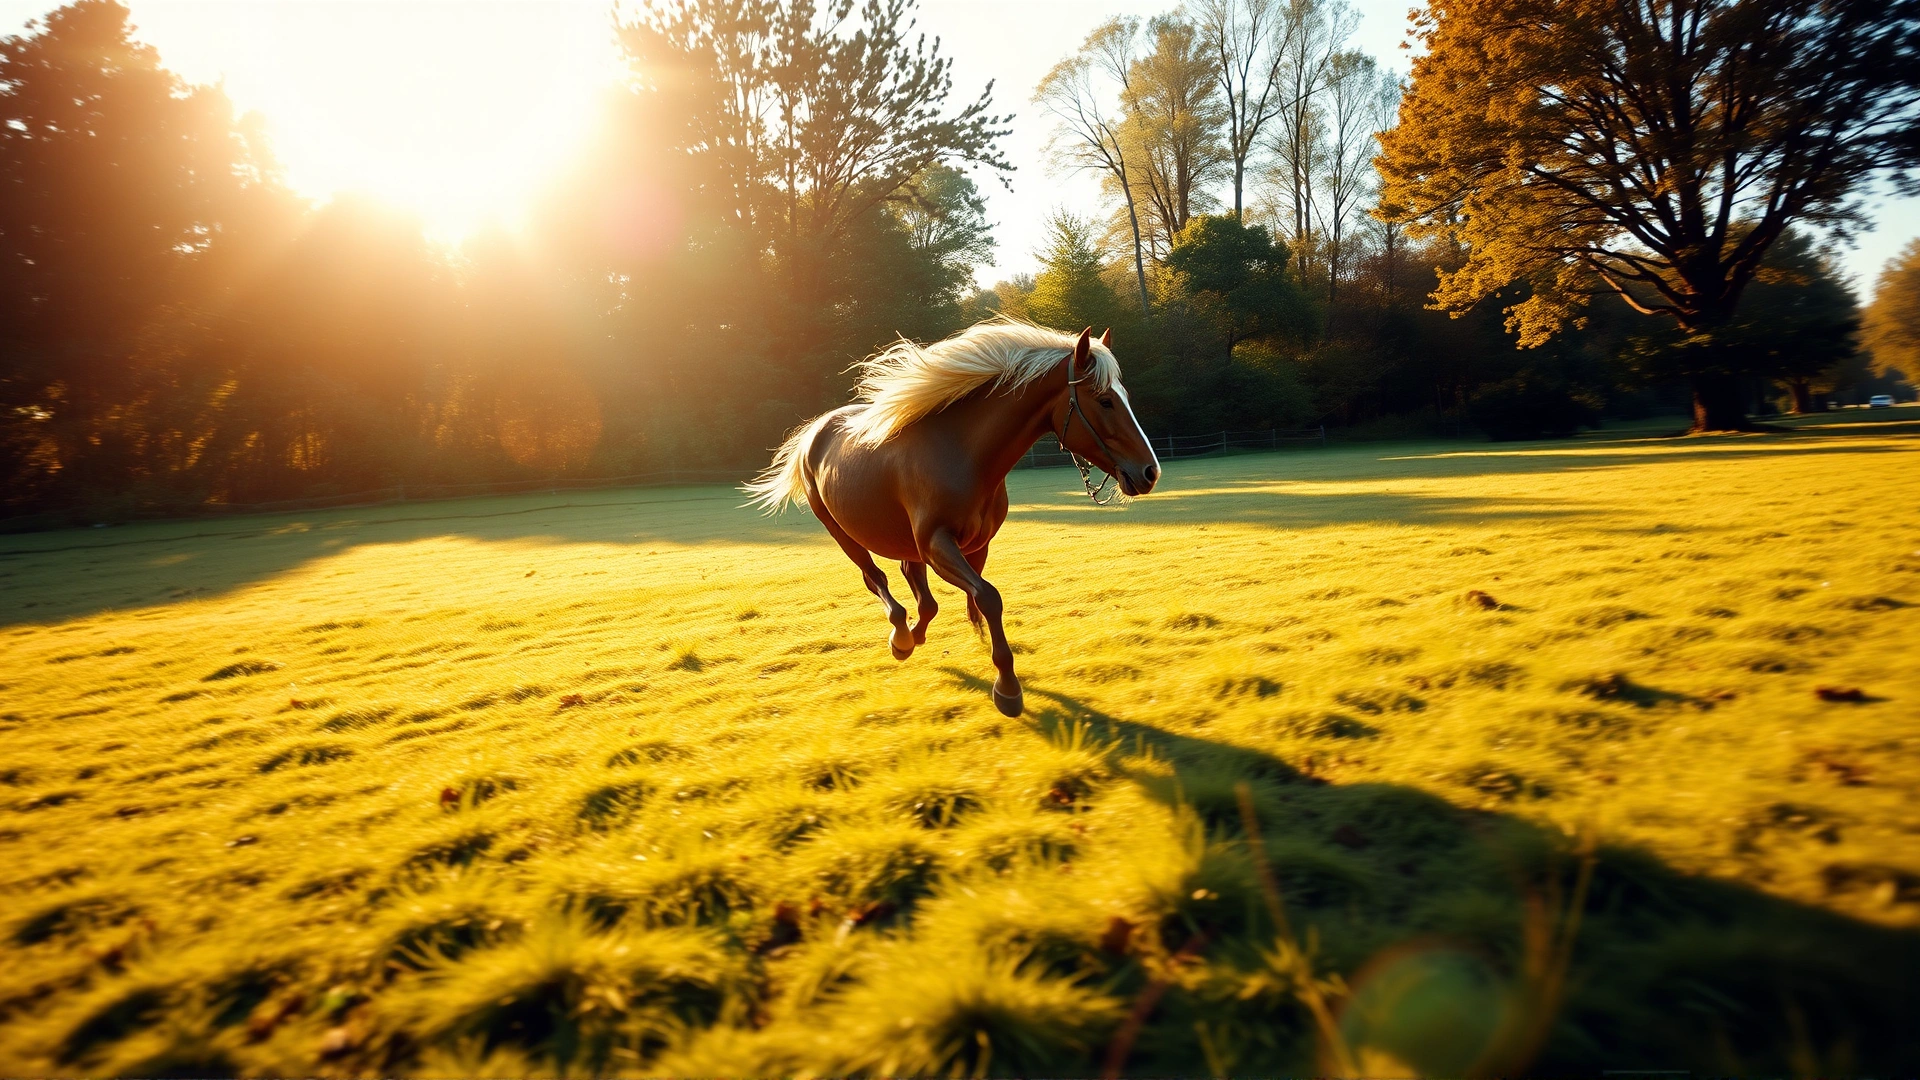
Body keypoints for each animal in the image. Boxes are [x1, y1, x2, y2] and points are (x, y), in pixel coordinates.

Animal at [744, 321, 1161, 717]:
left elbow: (973, 599)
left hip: (904, 540)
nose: (1149, 472)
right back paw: (901, 636)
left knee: (914, 587)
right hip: (842, 533)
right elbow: (989, 597)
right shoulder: (936, 545)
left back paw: (912, 636)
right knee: (875, 578)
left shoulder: (975, 546)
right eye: (1105, 400)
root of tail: (814, 432)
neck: (961, 452)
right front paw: (1008, 688)